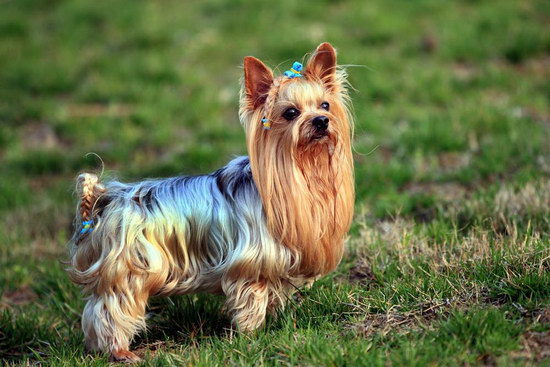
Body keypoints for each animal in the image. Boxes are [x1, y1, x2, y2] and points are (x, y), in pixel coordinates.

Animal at [67, 43, 356, 362]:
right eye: (290, 112)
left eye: (325, 105)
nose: (321, 121)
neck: (304, 167)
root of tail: (105, 198)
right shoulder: (249, 269)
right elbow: (250, 304)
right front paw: (251, 336)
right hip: (130, 271)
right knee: (111, 310)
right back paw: (121, 352)